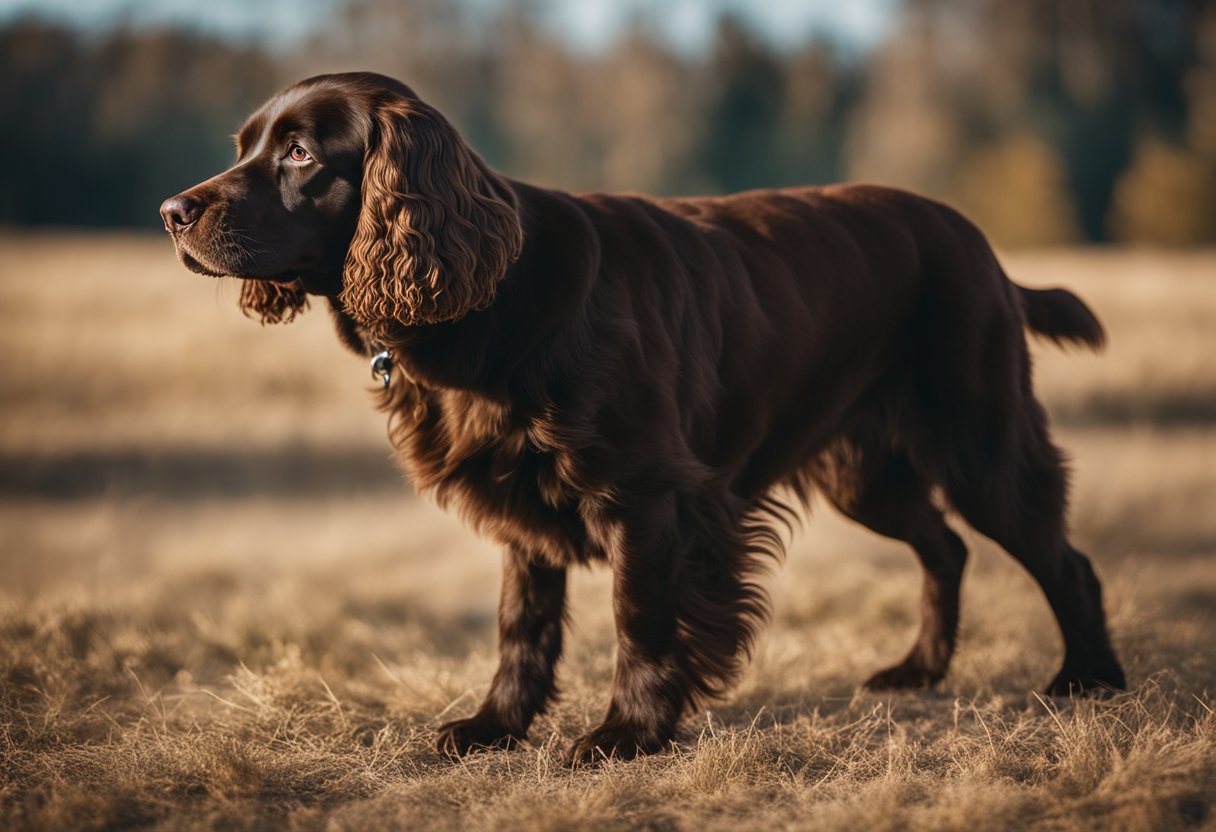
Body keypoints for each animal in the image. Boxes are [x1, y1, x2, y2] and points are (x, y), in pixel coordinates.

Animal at [164, 74, 1128, 763]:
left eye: (299, 153)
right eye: (246, 146)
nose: (173, 211)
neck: (494, 301)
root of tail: (984, 249)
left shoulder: (647, 495)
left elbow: (640, 617)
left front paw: (625, 735)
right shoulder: (523, 511)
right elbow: (522, 627)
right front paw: (492, 727)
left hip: (981, 442)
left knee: (1064, 559)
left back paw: (1089, 681)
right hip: (867, 471)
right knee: (946, 546)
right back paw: (920, 669)